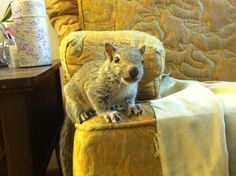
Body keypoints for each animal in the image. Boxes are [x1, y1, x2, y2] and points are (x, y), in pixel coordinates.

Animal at [59, 43, 146, 176]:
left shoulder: (130, 93)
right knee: (75, 113)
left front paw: (133, 107)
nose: (134, 70)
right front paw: (108, 113)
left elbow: (130, 101)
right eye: (116, 60)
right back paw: (83, 114)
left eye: (142, 61)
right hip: (73, 101)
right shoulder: (95, 89)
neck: (123, 84)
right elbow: (99, 104)